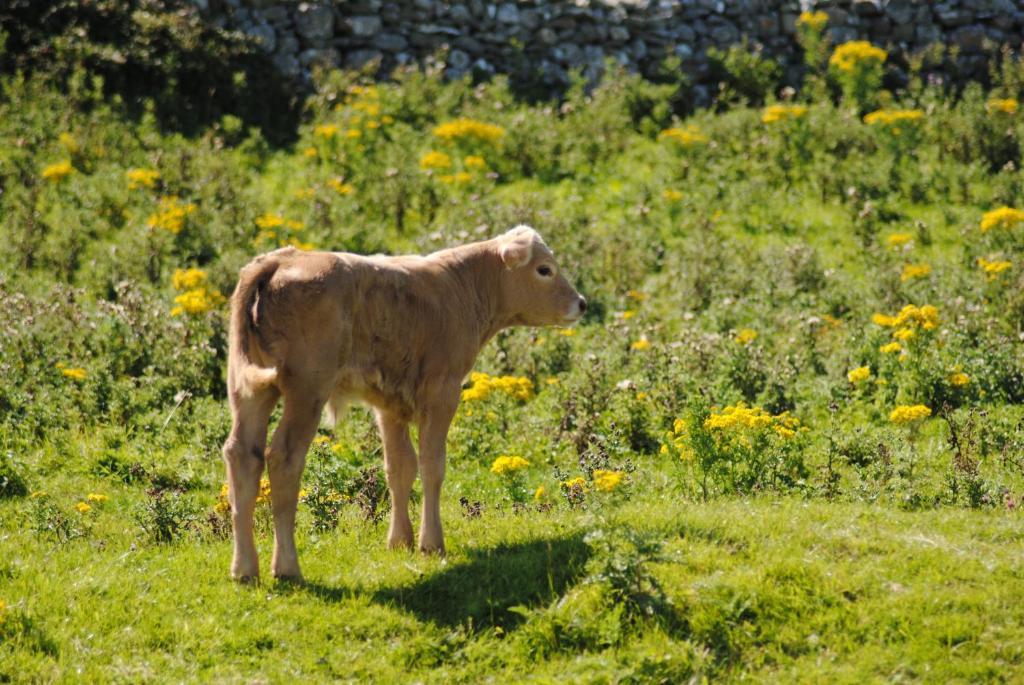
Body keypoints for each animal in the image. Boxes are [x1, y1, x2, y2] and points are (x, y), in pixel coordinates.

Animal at [222, 227, 585, 581]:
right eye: (544, 269)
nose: (581, 303)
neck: (460, 287)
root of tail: (282, 260)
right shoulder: (442, 392)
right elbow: (431, 465)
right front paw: (431, 543)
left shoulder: (388, 404)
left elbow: (399, 468)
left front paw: (399, 540)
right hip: (306, 389)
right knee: (284, 458)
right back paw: (286, 567)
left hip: (247, 389)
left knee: (242, 455)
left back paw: (244, 568)